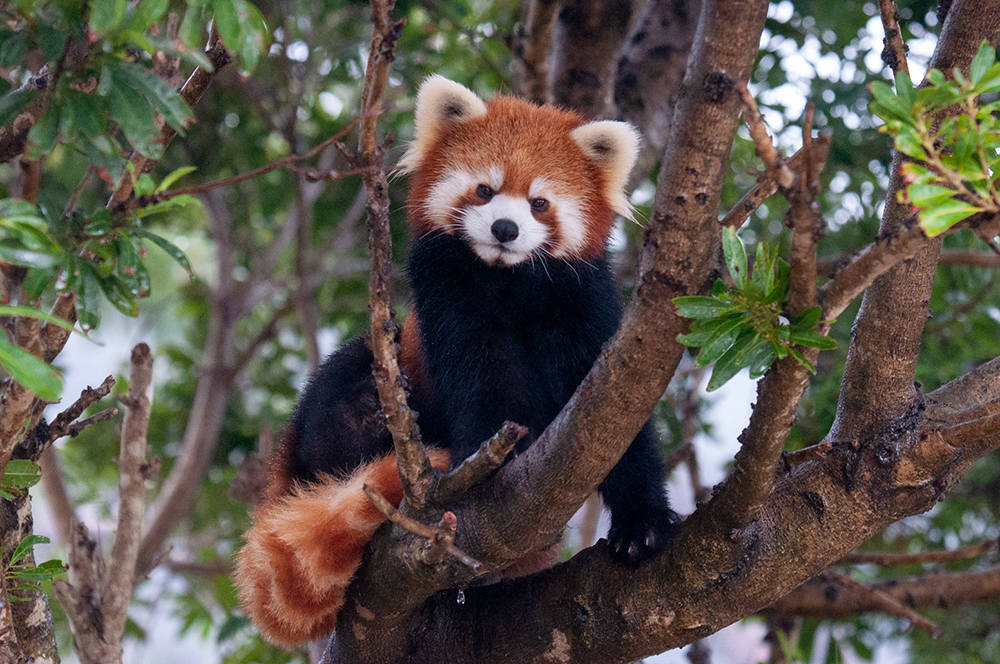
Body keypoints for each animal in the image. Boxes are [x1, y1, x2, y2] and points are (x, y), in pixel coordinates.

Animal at [236, 75, 672, 644]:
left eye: (540, 203)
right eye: (484, 190)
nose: (505, 228)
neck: (509, 280)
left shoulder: (582, 305)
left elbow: (618, 422)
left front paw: (643, 523)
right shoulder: (448, 294)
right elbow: (479, 380)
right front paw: (492, 455)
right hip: (349, 386)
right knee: (335, 405)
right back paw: (365, 418)